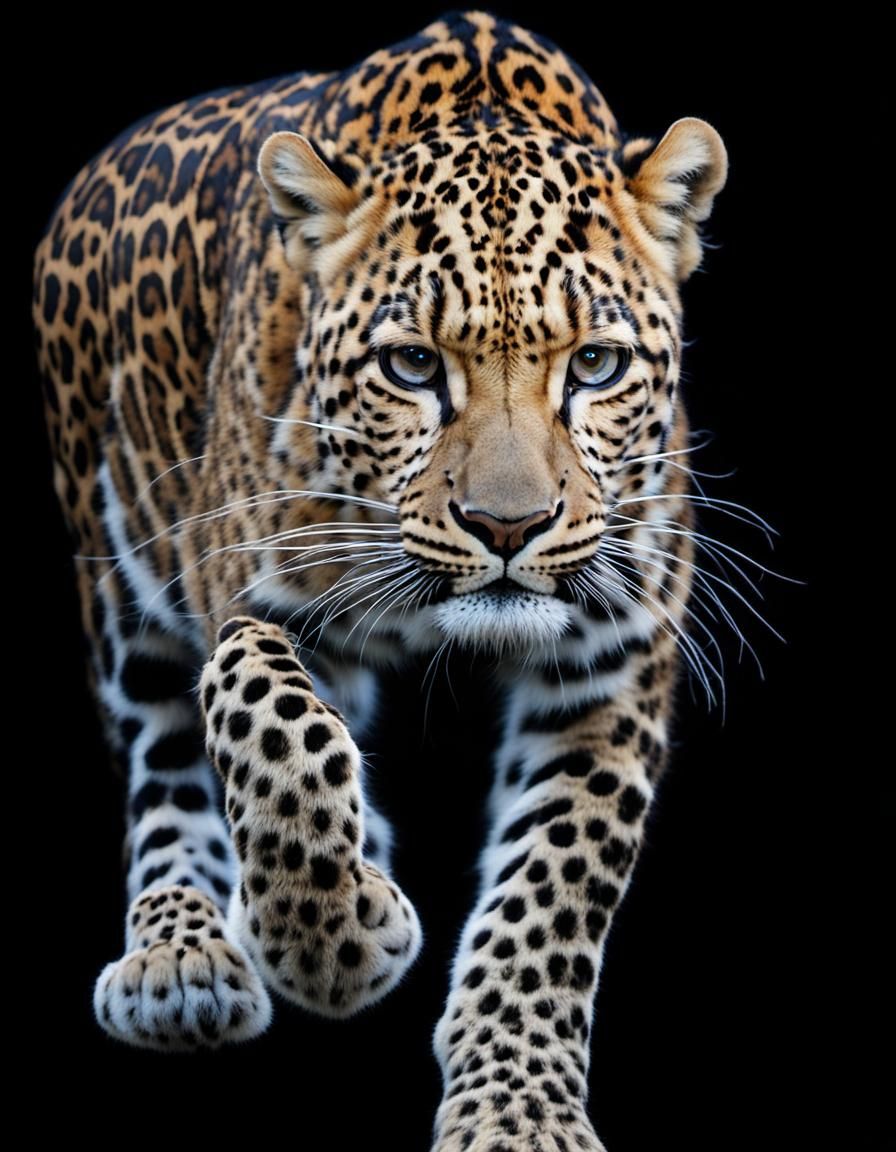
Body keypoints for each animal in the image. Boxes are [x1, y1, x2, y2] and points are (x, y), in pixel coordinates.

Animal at [34, 11, 727, 1150]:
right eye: (411, 367)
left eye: (593, 367)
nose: (506, 526)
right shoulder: (253, 598)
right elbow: (268, 722)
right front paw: (336, 941)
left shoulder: (611, 656)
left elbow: (553, 883)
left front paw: (515, 1106)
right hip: (113, 570)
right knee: (162, 754)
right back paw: (180, 958)